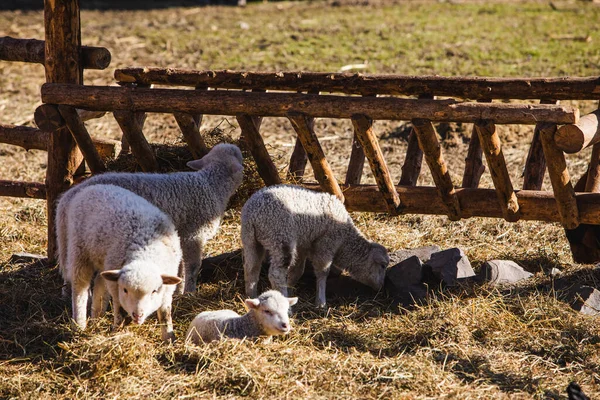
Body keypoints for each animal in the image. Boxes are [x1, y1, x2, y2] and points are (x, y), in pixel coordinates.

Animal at [56, 144, 244, 294]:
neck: (211, 185)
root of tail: (67, 198)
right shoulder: (193, 234)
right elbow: (192, 266)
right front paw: (189, 292)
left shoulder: (181, 235)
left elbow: (181, 266)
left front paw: (178, 290)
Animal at [57, 184, 182, 340]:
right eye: (125, 290)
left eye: (154, 291)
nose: (137, 315)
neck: (145, 251)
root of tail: (88, 188)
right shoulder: (116, 288)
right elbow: (120, 312)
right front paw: (117, 333)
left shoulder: (167, 291)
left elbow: (165, 314)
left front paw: (168, 339)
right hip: (79, 251)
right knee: (80, 288)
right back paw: (79, 325)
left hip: (103, 260)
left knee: (99, 283)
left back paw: (97, 316)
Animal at [243, 183, 390, 308]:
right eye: (383, 266)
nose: (381, 287)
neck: (344, 241)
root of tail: (254, 213)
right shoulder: (325, 244)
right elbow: (323, 272)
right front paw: (320, 302)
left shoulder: (303, 245)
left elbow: (298, 270)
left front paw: (291, 288)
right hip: (280, 237)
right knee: (276, 274)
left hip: (251, 240)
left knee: (251, 268)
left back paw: (251, 297)